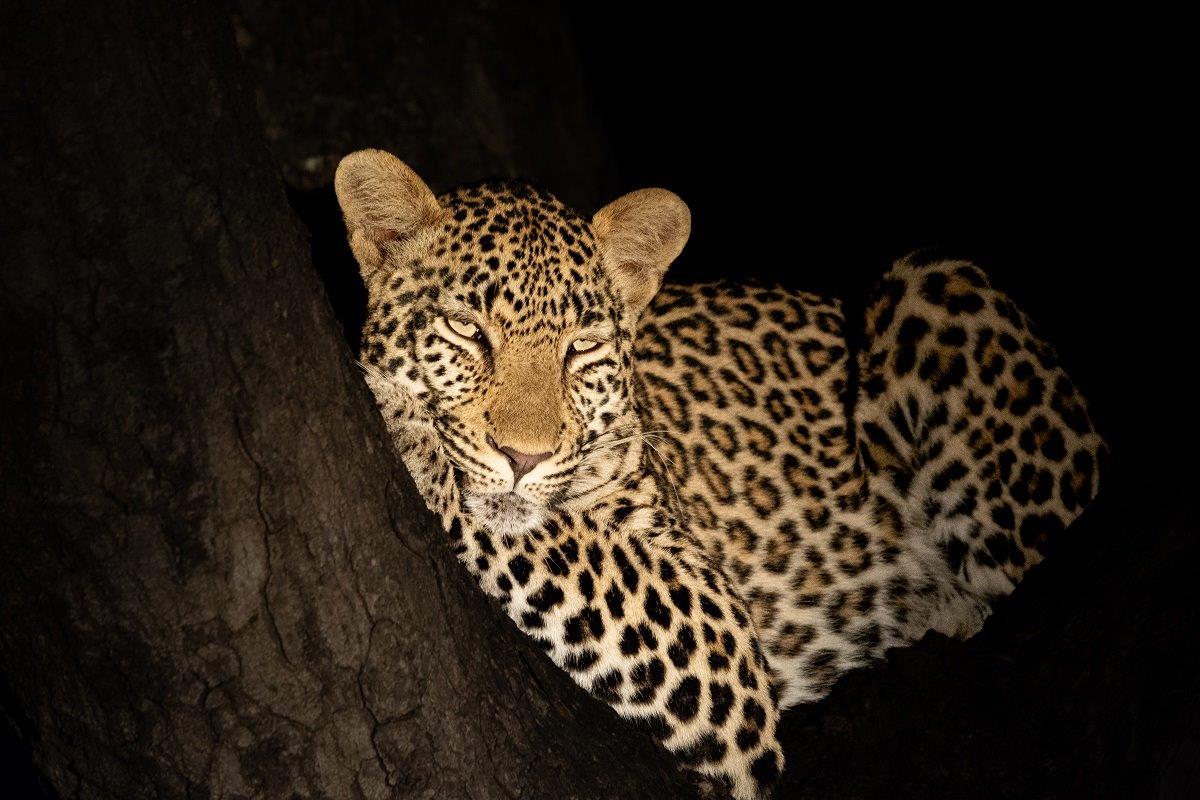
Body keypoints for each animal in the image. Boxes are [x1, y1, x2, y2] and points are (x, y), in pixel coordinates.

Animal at [334, 149, 1103, 797]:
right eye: (467, 331)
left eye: (580, 348)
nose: (525, 458)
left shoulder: (716, 632)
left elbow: (571, 544)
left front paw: (398, 412)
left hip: (935, 278)